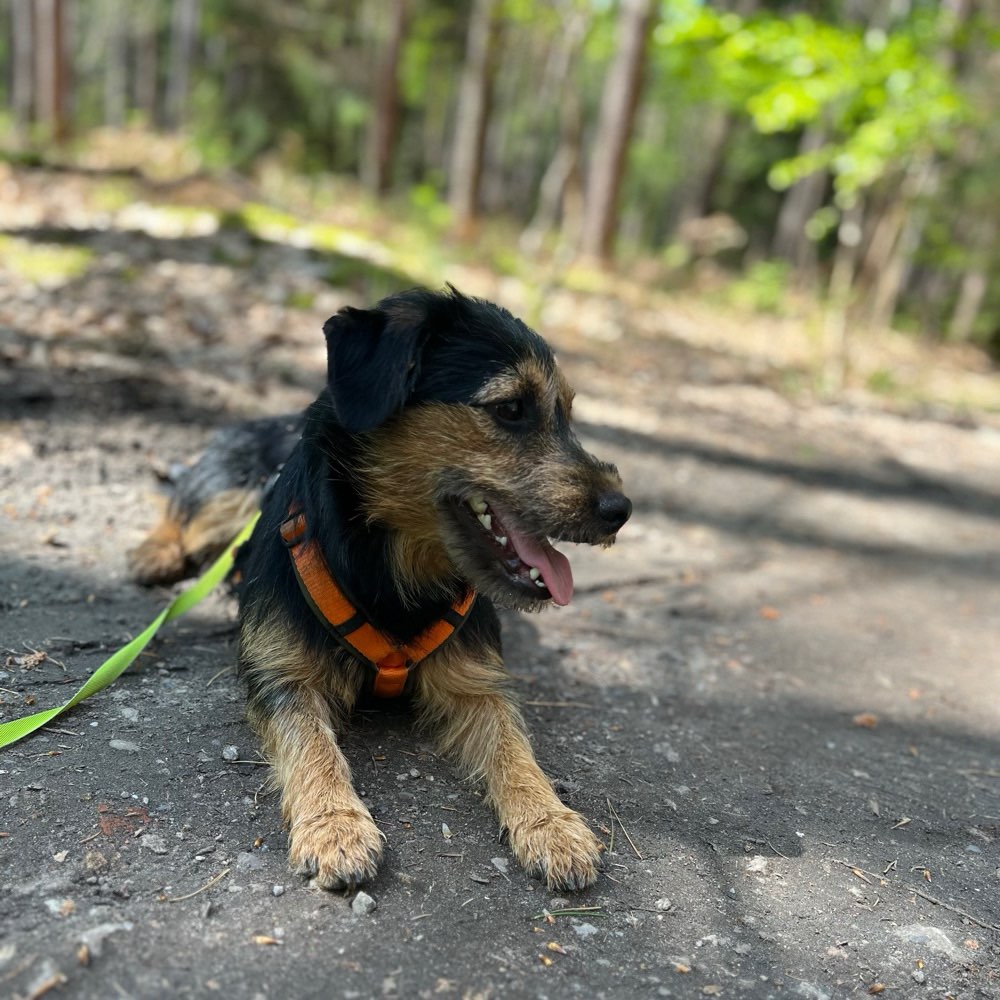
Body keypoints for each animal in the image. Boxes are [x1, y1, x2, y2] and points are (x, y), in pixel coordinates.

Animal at [129, 288, 632, 892]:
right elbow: (311, 743)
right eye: (511, 408)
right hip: (229, 491)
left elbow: (515, 748)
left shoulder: (477, 682)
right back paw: (154, 552)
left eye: (567, 415)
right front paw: (335, 826)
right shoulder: (283, 676)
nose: (621, 510)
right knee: (181, 503)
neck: (393, 574)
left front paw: (551, 823)